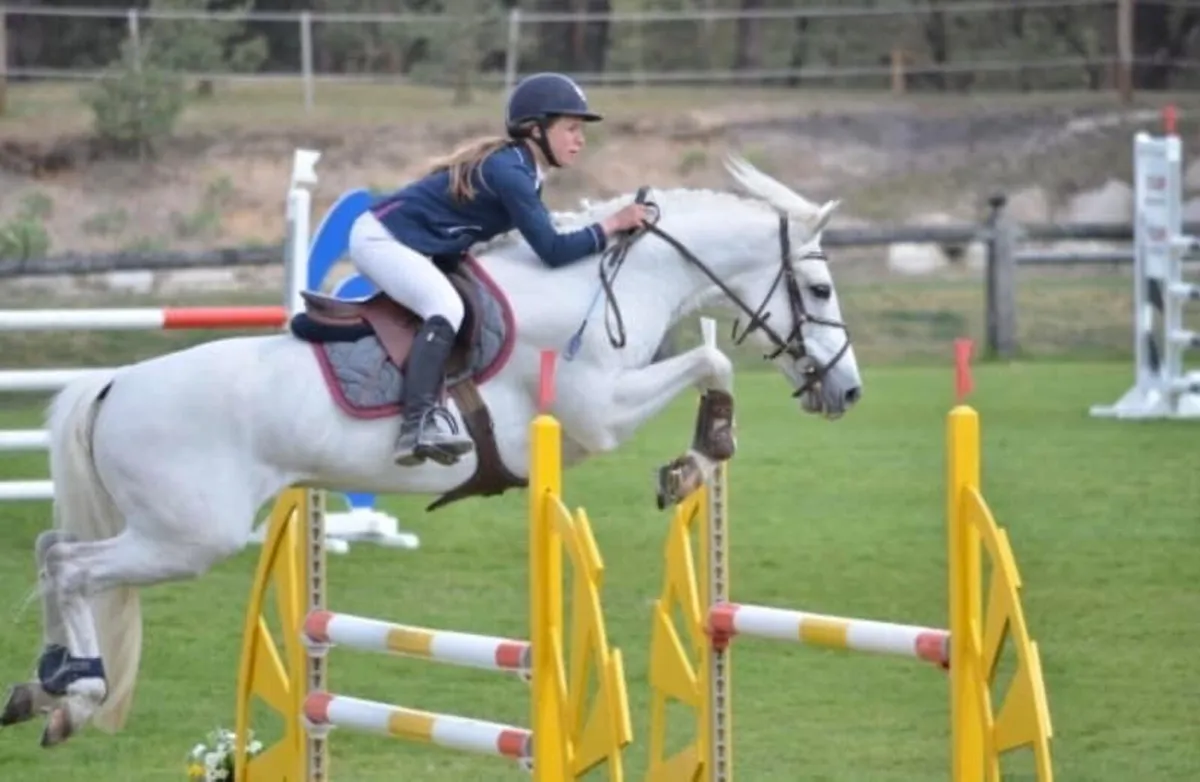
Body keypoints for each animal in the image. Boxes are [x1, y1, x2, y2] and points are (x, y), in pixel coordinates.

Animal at [0, 154, 863, 747]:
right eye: (820, 291)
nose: (848, 393)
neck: (604, 284)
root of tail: (113, 385)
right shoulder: (600, 413)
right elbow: (713, 361)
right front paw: (697, 455)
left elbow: (712, 364)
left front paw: (696, 459)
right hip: (190, 535)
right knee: (71, 565)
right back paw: (78, 695)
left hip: (163, 529)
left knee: (50, 549)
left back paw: (44, 689)